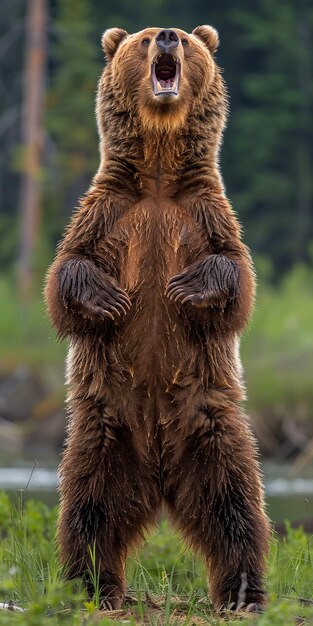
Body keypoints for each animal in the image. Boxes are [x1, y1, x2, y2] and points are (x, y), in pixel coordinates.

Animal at [45, 26, 270, 612]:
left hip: (212, 424)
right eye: (144, 39)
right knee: (89, 510)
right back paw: (91, 585)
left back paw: (244, 592)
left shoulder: (206, 212)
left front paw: (185, 288)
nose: (167, 34)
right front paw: (110, 300)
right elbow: (67, 273)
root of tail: (160, 475)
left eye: (188, 41)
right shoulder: (106, 211)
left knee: (236, 508)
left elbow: (235, 275)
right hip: (103, 428)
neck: (159, 176)